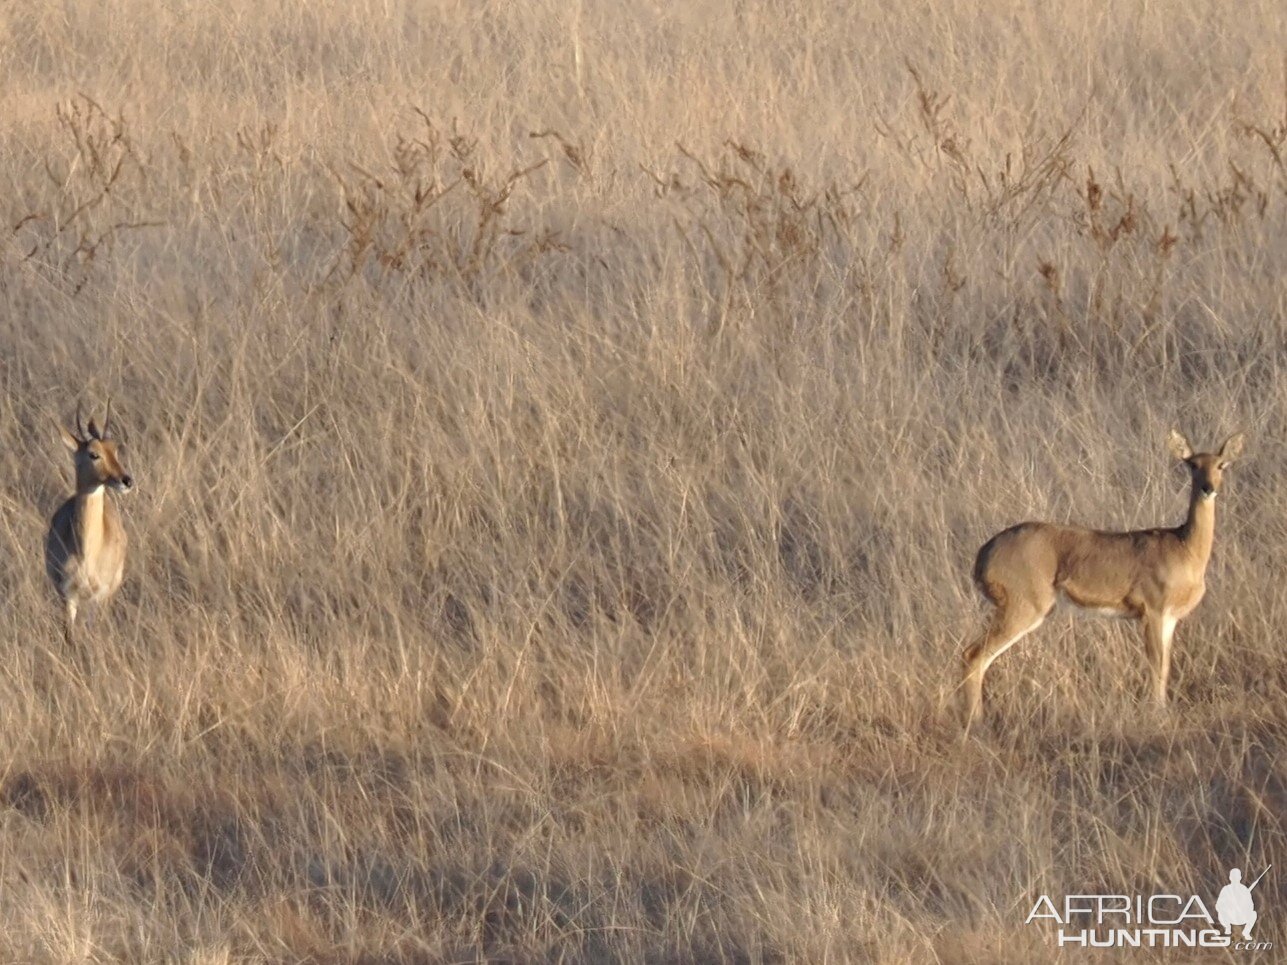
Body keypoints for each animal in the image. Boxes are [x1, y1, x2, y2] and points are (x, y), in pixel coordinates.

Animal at [45, 404, 133, 645]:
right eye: (94, 454)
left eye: (115, 449)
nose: (126, 480)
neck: (87, 552)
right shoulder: (68, 595)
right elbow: (69, 636)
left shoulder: (100, 596)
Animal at [967, 429, 1245, 730]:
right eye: (1192, 464)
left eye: (1221, 465)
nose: (1208, 488)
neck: (1185, 548)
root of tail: (984, 554)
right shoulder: (1153, 611)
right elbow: (1156, 665)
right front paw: (1157, 714)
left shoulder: (1170, 618)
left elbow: (1165, 666)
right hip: (1023, 607)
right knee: (974, 655)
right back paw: (975, 722)